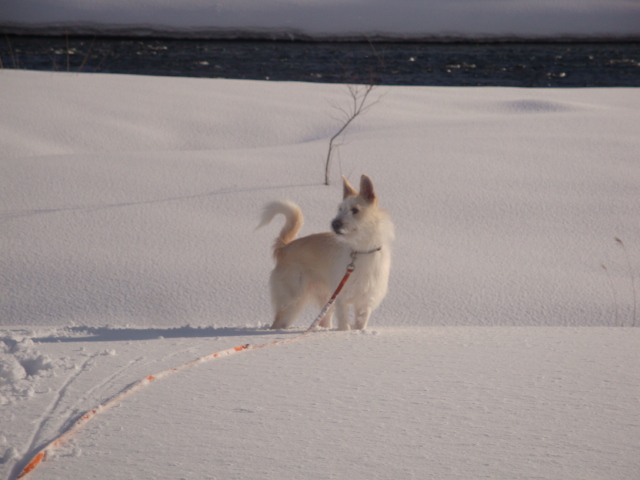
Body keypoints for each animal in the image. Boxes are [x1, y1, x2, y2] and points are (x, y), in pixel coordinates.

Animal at [258, 175, 392, 330]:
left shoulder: (365, 301)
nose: (335, 224)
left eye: (355, 210)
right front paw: (345, 333)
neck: (361, 250)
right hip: (293, 300)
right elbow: (344, 324)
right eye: (340, 209)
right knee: (278, 322)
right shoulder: (341, 298)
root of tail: (284, 248)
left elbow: (360, 324)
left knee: (323, 321)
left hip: (325, 300)